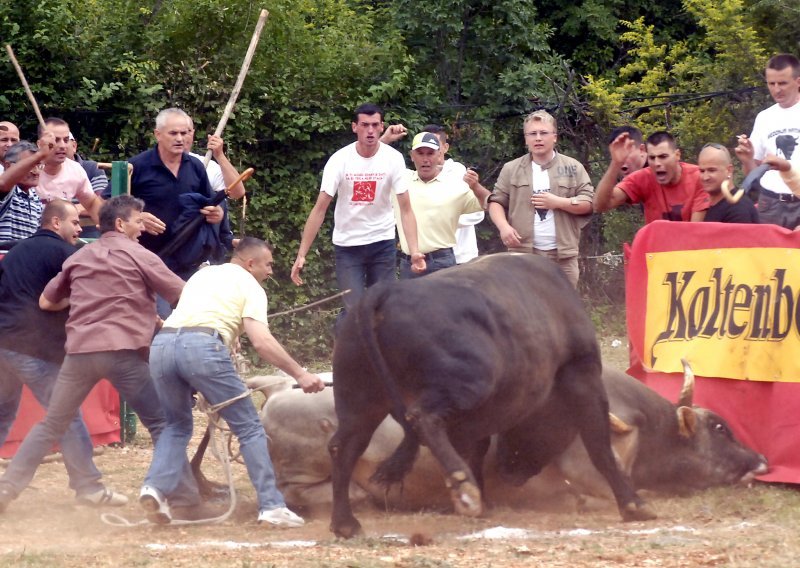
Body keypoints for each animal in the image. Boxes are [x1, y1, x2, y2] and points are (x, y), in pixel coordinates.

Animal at [326, 253, 656, 536]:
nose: (508, 469)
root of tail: (386, 292)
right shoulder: (583, 375)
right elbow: (600, 447)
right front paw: (634, 504)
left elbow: (476, 449)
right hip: (471, 381)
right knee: (422, 417)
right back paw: (463, 486)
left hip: (360, 402)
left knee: (343, 447)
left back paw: (345, 523)